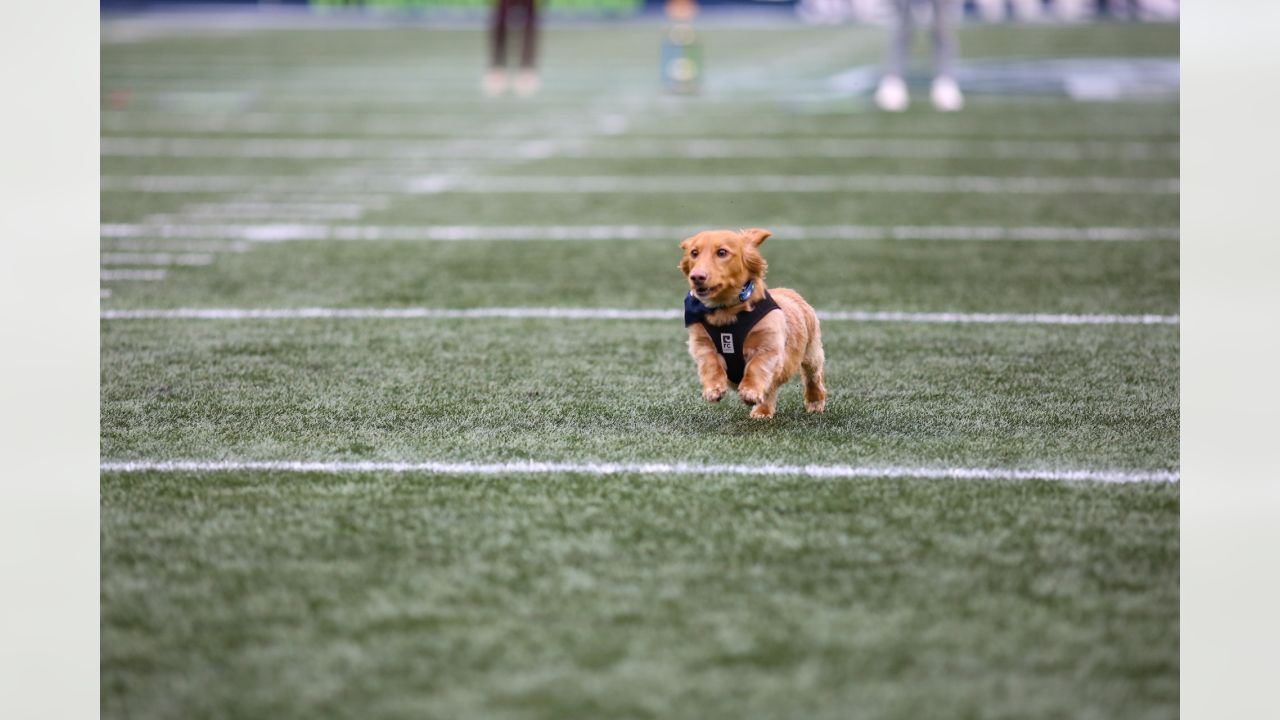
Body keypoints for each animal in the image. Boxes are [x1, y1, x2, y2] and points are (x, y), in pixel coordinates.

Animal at [680, 226, 829, 417]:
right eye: (694, 253)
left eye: (722, 252)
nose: (697, 276)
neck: (726, 312)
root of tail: (790, 292)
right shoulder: (702, 344)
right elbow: (711, 364)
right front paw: (713, 390)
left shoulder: (768, 347)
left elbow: (756, 367)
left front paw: (749, 391)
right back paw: (762, 411)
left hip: (812, 351)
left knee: (813, 376)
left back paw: (814, 402)